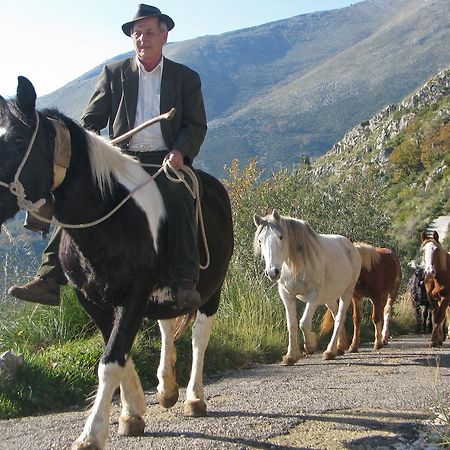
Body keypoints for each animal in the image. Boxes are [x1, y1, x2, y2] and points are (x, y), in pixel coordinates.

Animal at [0, 77, 232, 450]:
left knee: (199, 336)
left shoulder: (133, 295)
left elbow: (111, 360)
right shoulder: (91, 298)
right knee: (167, 326)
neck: (109, 218)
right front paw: (132, 411)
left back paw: (194, 398)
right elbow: (119, 352)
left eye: (19, 139)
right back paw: (167, 389)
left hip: (213, 289)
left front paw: (91, 434)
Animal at [253, 210, 362, 362]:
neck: (295, 264)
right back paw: (339, 348)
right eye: (260, 241)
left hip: (346, 292)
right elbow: (291, 324)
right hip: (329, 298)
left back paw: (329, 351)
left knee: (340, 317)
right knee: (335, 316)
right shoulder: (286, 295)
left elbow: (304, 323)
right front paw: (291, 356)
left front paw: (310, 346)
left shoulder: (313, 296)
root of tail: (350, 245)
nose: (272, 272)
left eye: (281, 237)